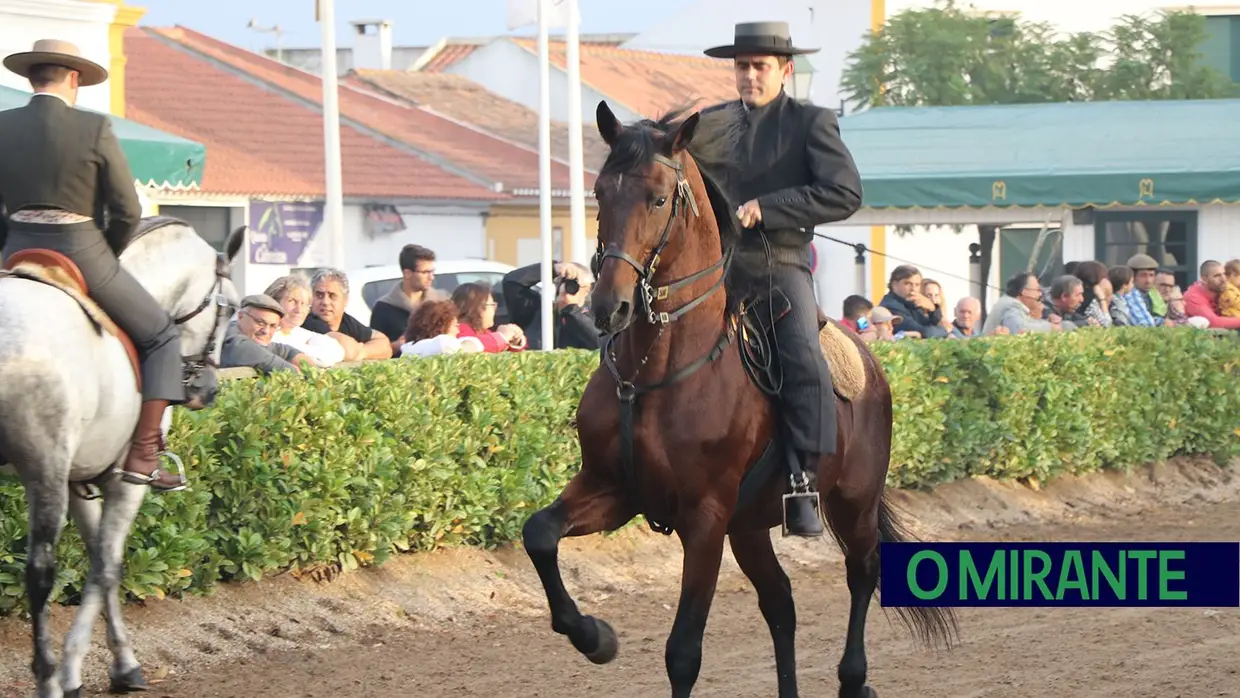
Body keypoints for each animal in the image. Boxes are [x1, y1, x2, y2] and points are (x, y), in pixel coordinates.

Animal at [0, 218, 241, 698]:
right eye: (233, 309)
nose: (206, 390)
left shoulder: (81, 477)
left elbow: (97, 557)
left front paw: (121, 663)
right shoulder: (125, 480)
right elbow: (108, 565)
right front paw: (76, 671)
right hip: (43, 472)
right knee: (40, 574)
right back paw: (47, 678)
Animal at [523, 101, 957, 698]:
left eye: (658, 198)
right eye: (600, 192)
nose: (608, 307)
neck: (653, 371)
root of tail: (869, 359)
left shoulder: (704, 519)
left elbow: (683, 652)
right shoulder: (613, 489)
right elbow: (539, 533)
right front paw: (594, 636)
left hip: (852, 502)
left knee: (861, 572)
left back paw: (854, 678)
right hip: (750, 526)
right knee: (781, 604)